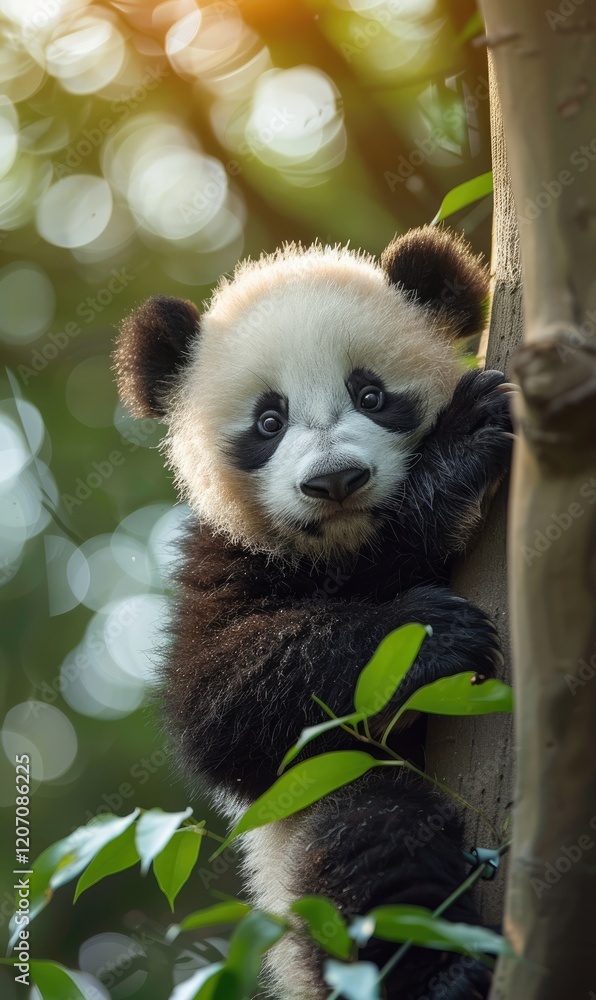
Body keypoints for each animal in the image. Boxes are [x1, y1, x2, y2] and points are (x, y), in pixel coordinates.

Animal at [114, 226, 512, 1000]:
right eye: (269, 421)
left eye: (371, 393)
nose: (335, 482)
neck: (341, 547)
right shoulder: (223, 558)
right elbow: (220, 705)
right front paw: (431, 631)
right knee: (371, 838)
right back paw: (440, 974)